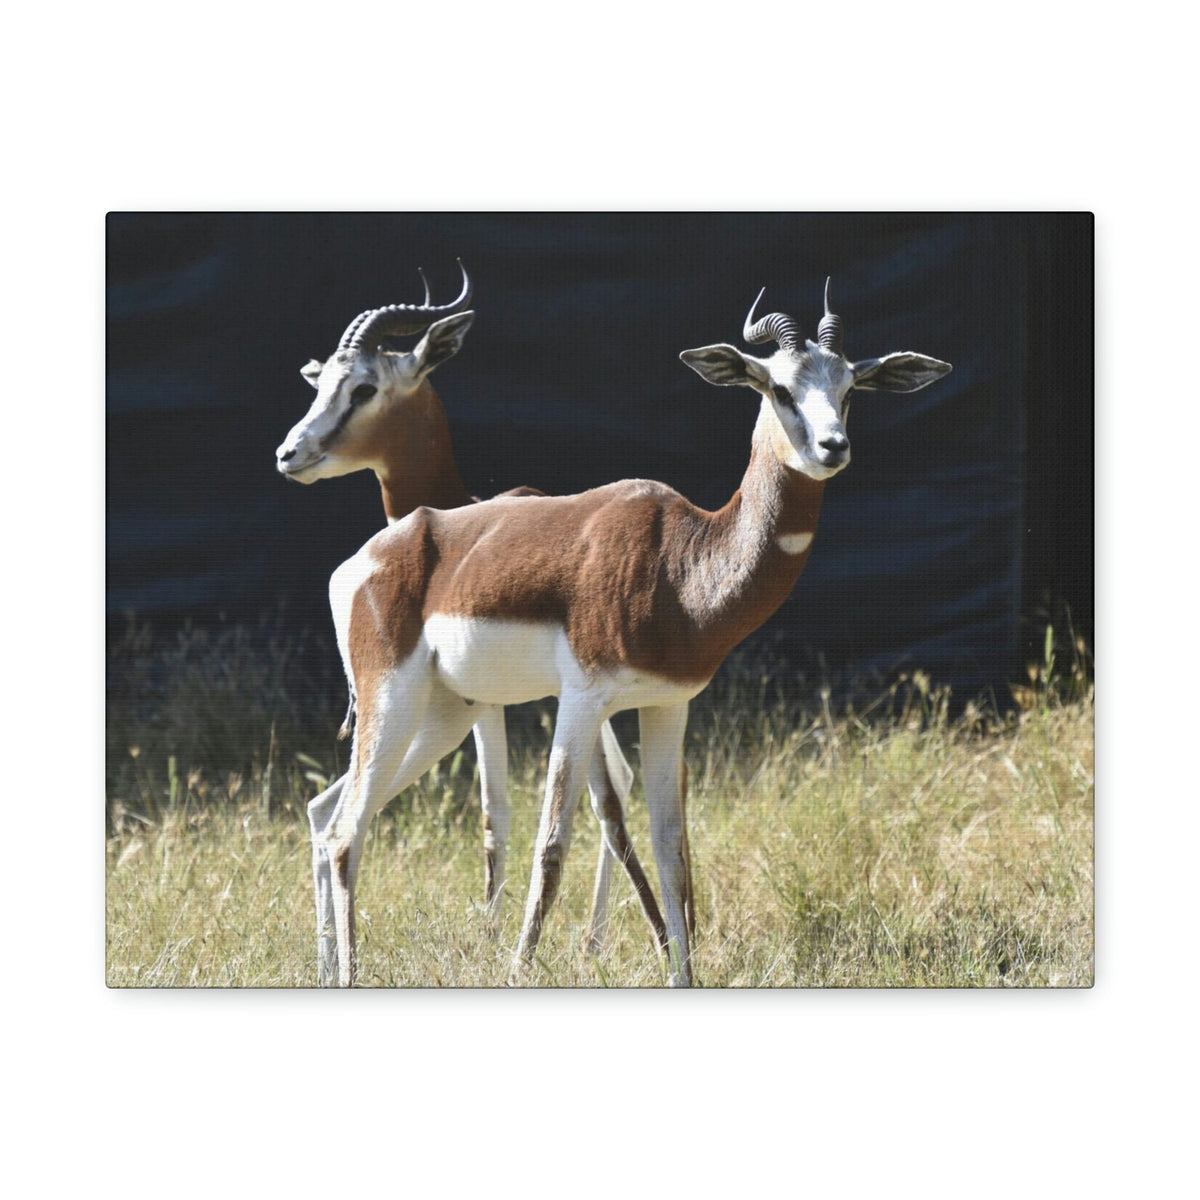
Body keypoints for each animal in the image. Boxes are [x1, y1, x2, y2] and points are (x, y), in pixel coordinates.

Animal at [275, 264, 669, 985]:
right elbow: (497, 814)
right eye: (320, 384)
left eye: (364, 386)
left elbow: (526, 812)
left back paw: (594, 943)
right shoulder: (493, 704)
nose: (291, 453)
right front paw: (492, 938)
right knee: (333, 813)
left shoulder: (510, 704)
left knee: (613, 797)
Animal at [314, 277, 951, 986]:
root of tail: (363, 560)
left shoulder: (668, 705)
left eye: (849, 389)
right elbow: (552, 842)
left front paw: (684, 977)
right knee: (345, 830)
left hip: (446, 714)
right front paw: (519, 970)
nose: (832, 448)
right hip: (392, 702)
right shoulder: (582, 701)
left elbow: (672, 847)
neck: (683, 561)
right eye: (779, 388)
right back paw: (348, 976)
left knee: (336, 815)